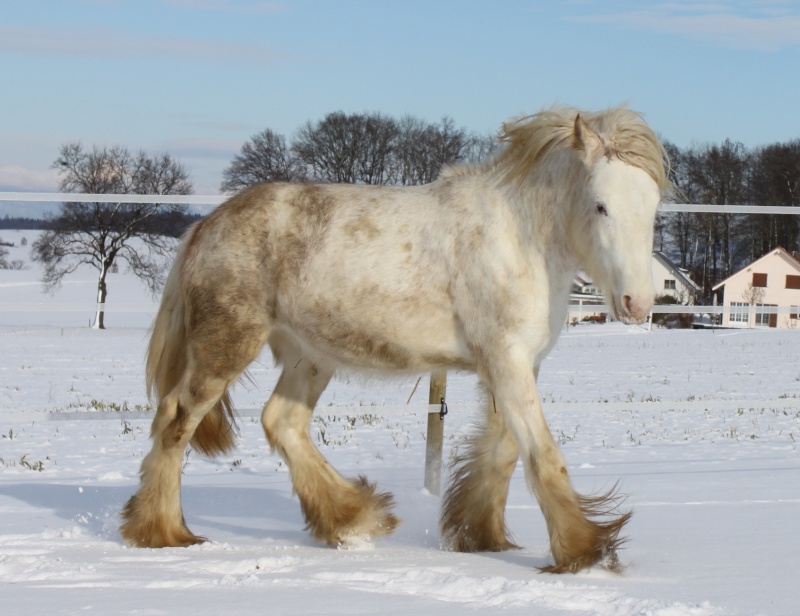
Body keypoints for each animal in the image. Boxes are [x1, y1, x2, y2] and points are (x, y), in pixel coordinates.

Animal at [120, 106, 668, 572]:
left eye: (653, 206)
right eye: (601, 206)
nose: (638, 303)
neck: (520, 236)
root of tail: (204, 226)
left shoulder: (515, 364)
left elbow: (505, 452)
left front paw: (479, 536)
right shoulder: (507, 360)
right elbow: (542, 455)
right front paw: (585, 551)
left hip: (309, 356)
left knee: (282, 423)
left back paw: (354, 517)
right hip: (227, 344)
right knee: (176, 419)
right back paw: (162, 533)